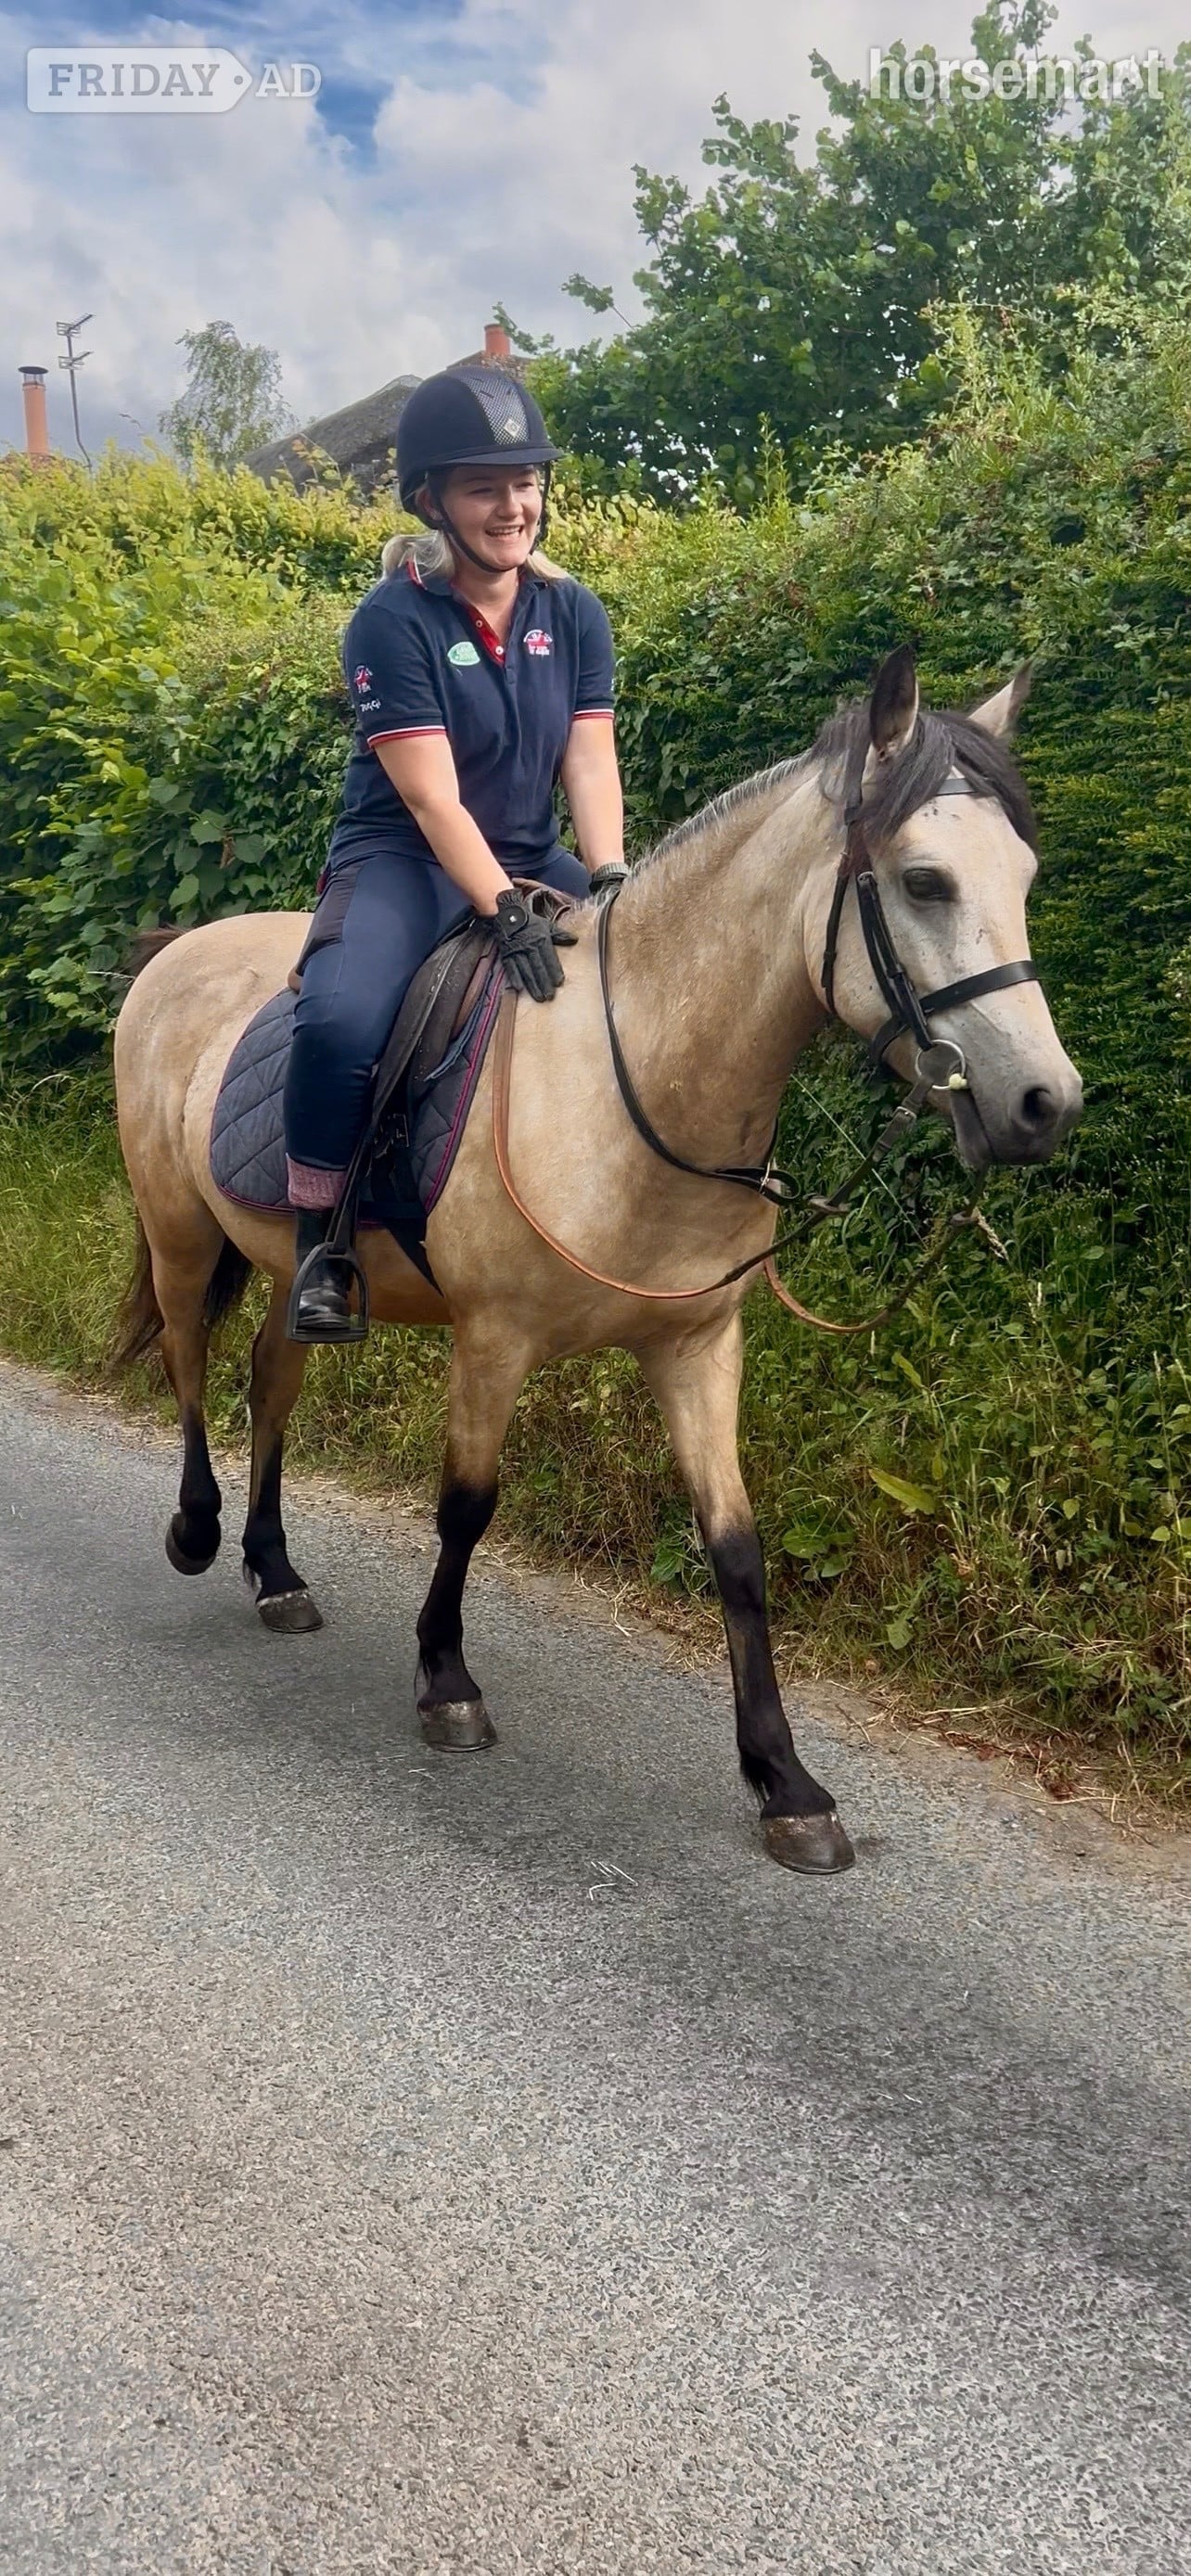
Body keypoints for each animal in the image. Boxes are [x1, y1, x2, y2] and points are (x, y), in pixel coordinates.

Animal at [111, 647, 1082, 1877]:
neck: (641, 1083)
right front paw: (446, 1680)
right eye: (924, 882)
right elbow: (466, 1506)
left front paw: (786, 1781)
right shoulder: (494, 1340)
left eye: (1025, 875)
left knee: (267, 1383)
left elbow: (737, 1549)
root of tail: (179, 950)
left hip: (294, 1268)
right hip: (181, 1234)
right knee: (189, 1363)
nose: (1044, 1104)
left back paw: (274, 1571)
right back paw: (199, 1533)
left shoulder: (698, 1346)